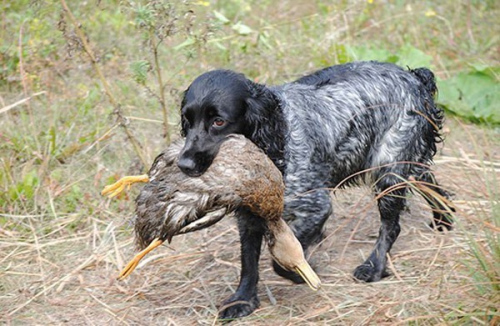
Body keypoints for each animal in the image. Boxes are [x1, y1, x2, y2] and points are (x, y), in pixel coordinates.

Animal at [176, 61, 454, 318]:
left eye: (218, 121)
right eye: (187, 121)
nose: (183, 164)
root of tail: (415, 77)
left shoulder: (316, 206)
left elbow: (282, 260)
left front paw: (303, 272)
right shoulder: (249, 216)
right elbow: (248, 261)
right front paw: (243, 300)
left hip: (388, 169)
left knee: (391, 226)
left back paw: (373, 266)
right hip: (407, 164)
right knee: (431, 183)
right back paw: (444, 219)